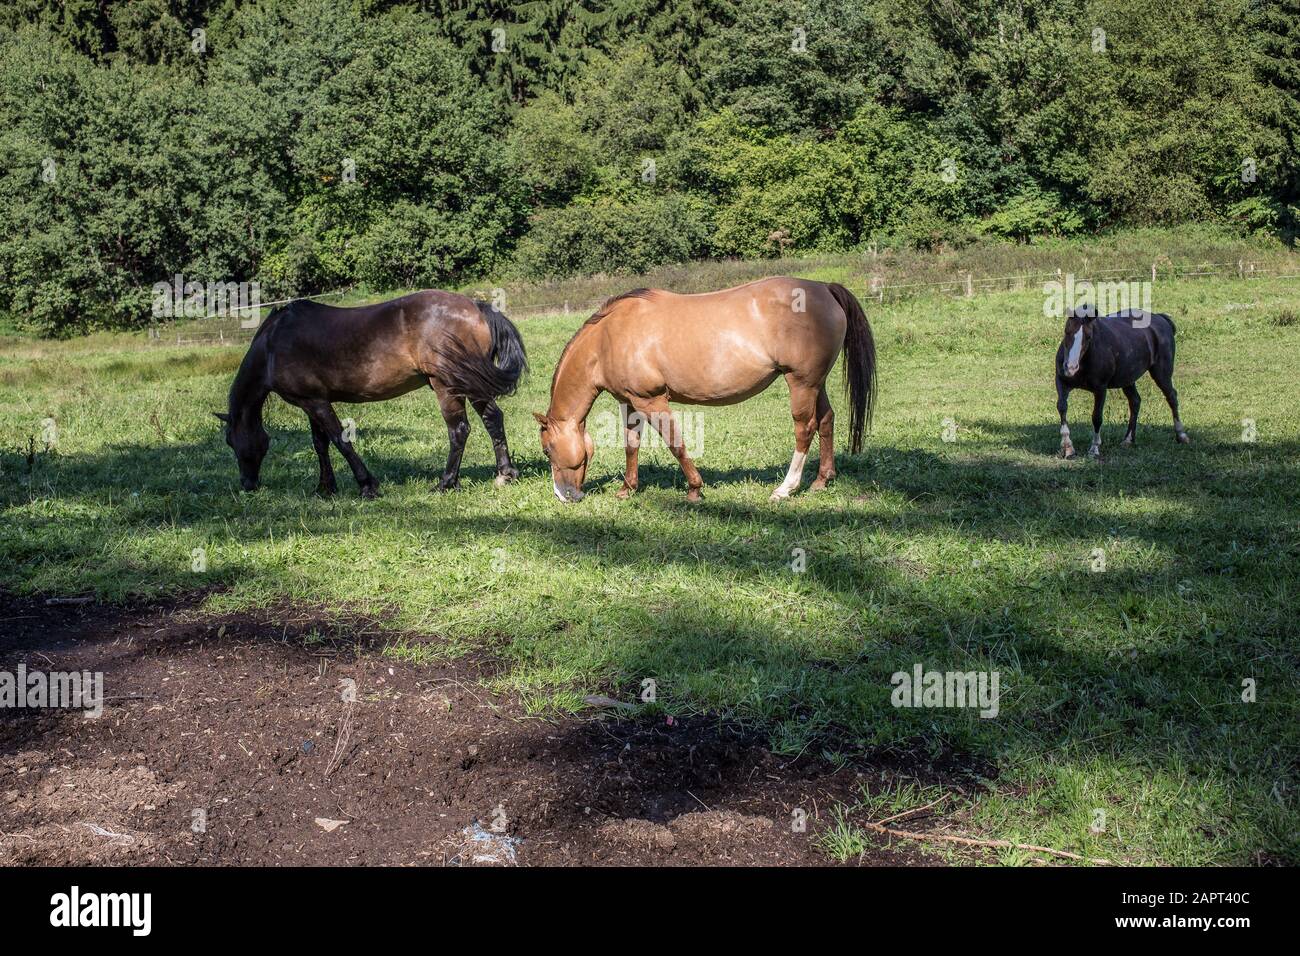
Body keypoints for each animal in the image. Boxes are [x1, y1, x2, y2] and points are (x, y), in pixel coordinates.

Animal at [219, 290, 527, 502]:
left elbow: (339, 440)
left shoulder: (315, 403)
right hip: (471, 383)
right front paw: (325, 487)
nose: (247, 484)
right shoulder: (312, 401)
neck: (273, 344)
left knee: (459, 430)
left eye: (232, 442)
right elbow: (320, 444)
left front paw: (367, 485)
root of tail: (476, 307)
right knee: (492, 418)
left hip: (447, 386)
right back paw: (505, 474)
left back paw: (446, 483)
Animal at [533, 274, 878, 504]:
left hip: (801, 383)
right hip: (815, 384)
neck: (609, 337)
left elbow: (676, 443)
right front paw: (627, 489)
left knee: (804, 429)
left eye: (547, 449)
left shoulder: (652, 401)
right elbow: (631, 445)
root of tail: (823, 288)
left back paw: (785, 489)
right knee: (826, 420)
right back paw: (821, 480)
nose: (563, 495)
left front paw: (695, 489)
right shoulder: (630, 402)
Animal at [1055, 304, 1190, 457]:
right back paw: (1128, 439)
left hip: (1162, 374)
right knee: (1135, 401)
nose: (1071, 368)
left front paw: (1094, 448)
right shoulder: (1062, 383)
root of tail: (1161, 319)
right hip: (1128, 379)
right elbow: (1062, 407)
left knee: (1172, 397)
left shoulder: (1100, 389)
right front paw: (1067, 447)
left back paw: (1181, 435)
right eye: (1067, 331)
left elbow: (1097, 417)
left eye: (1088, 337)